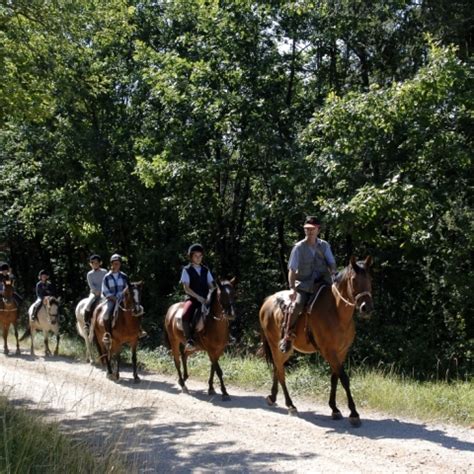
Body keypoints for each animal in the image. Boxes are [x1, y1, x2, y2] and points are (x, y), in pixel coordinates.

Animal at [260, 256, 374, 426]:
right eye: (354, 280)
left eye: (370, 279)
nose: (366, 307)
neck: (336, 312)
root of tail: (267, 301)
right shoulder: (329, 352)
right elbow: (344, 378)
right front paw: (354, 413)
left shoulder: (341, 352)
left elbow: (334, 378)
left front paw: (334, 409)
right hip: (275, 345)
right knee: (281, 372)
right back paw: (290, 405)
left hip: (285, 350)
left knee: (277, 368)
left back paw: (273, 397)